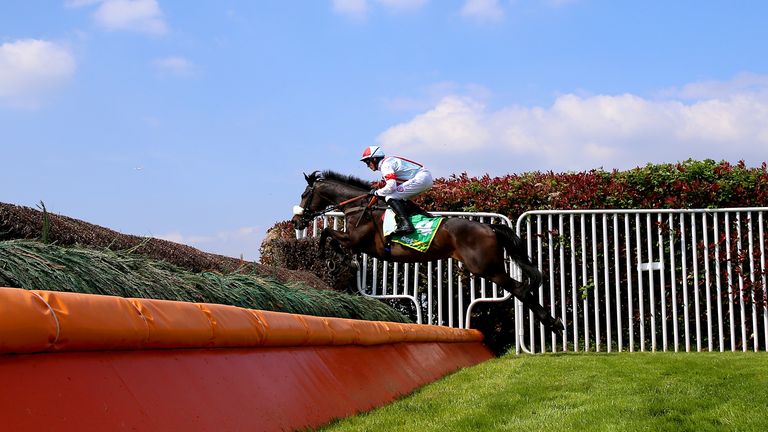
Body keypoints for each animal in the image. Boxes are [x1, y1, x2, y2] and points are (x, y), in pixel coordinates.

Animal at [292, 170, 564, 336]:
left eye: (305, 195)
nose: (296, 221)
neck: (361, 206)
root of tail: (489, 227)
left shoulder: (360, 240)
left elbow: (327, 231)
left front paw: (327, 256)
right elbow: (330, 234)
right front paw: (337, 259)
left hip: (487, 268)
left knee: (519, 289)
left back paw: (553, 323)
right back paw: (554, 322)